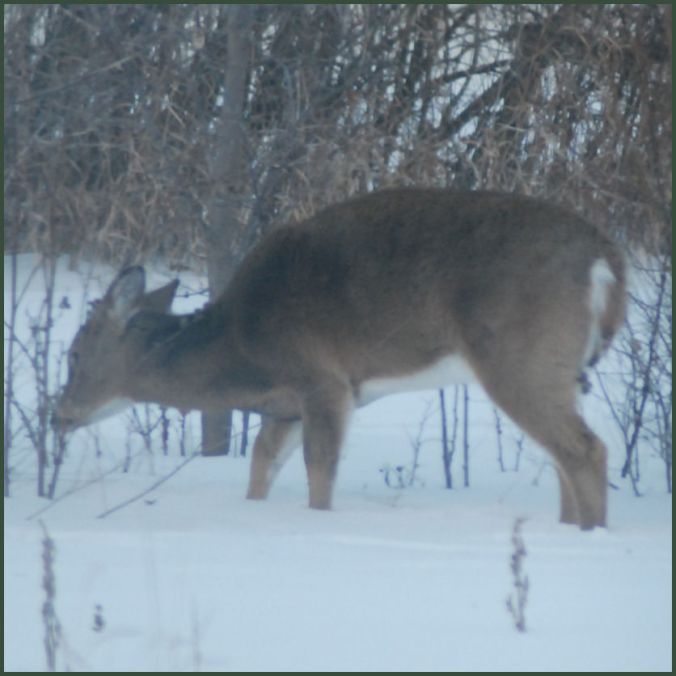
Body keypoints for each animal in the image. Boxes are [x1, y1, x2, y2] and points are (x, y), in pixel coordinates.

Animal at [52, 188, 626, 529]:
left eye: (74, 353)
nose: (57, 416)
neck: (241, 346)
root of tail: (605, 262)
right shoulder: (285, 404)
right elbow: (261, 464)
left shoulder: (322, 381)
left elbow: (319, 471)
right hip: (560, 370)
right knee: (562, 455)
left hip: (517, 357)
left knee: (585, 450)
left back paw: (592, 535)